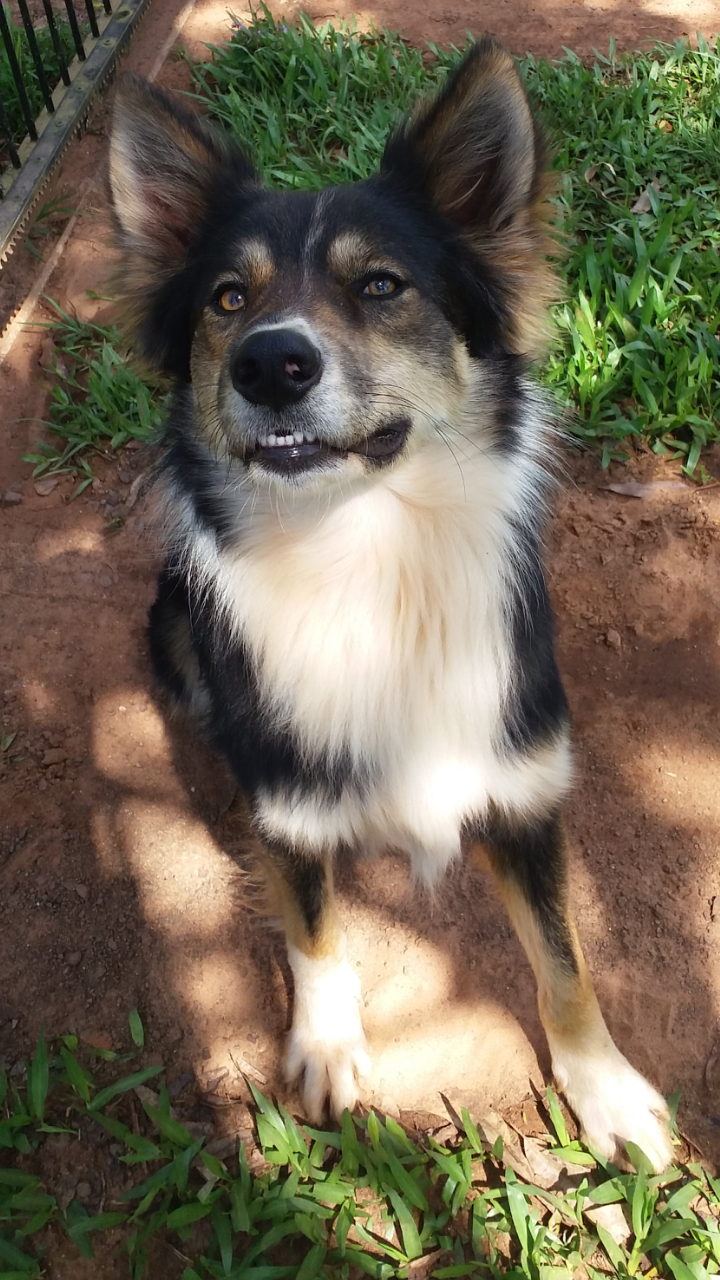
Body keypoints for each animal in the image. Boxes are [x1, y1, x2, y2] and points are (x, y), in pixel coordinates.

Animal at [108, 39, 672, 1170]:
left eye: (382, 285)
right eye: (226, 299)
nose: (271, 362)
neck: (365, 553)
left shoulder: (527, 790)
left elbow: (566, 961)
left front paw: (607, 1089)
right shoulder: (291, 810)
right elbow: (316, 933)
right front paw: (326, 1049)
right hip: (174, 627)